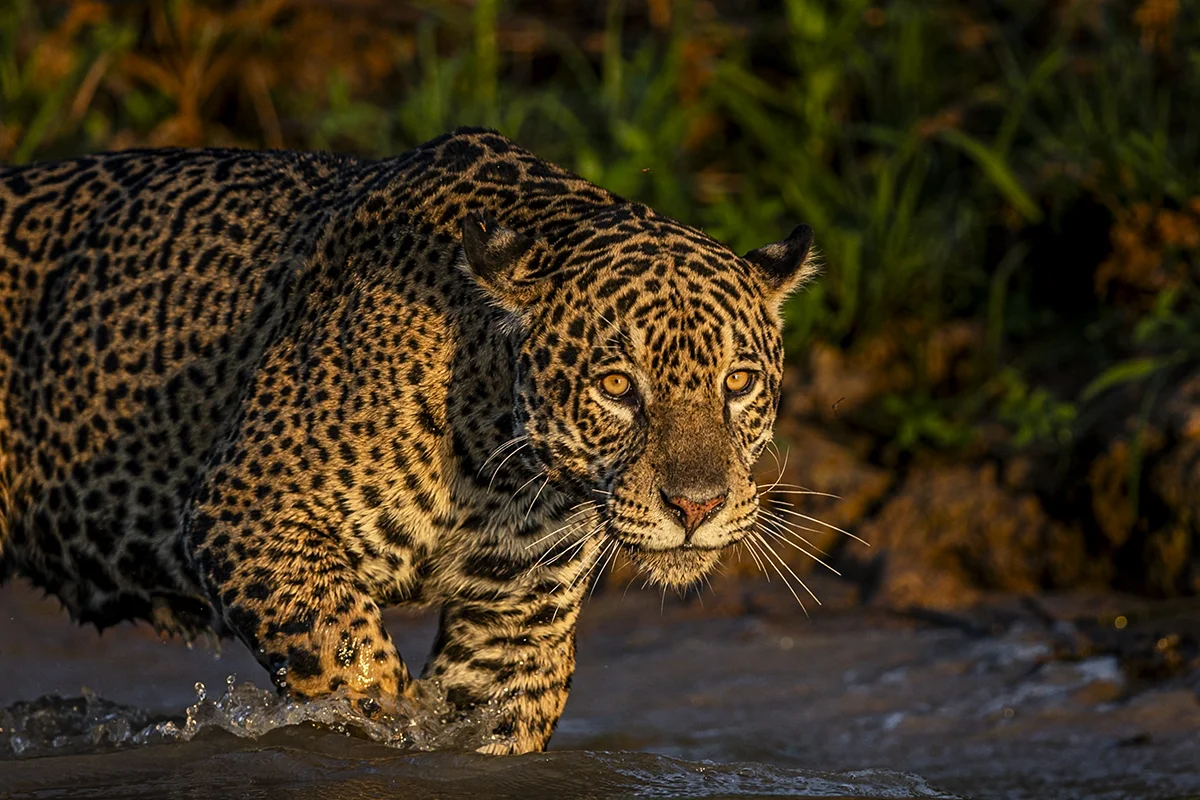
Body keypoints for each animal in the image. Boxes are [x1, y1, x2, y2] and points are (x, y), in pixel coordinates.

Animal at [0, 127, 816, 754]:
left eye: (739, 381)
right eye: (617, 386)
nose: (697, 506)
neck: (496, 465)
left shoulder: (515, 617)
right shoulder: (247, 515)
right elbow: (352, 664)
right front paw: (386, 727)